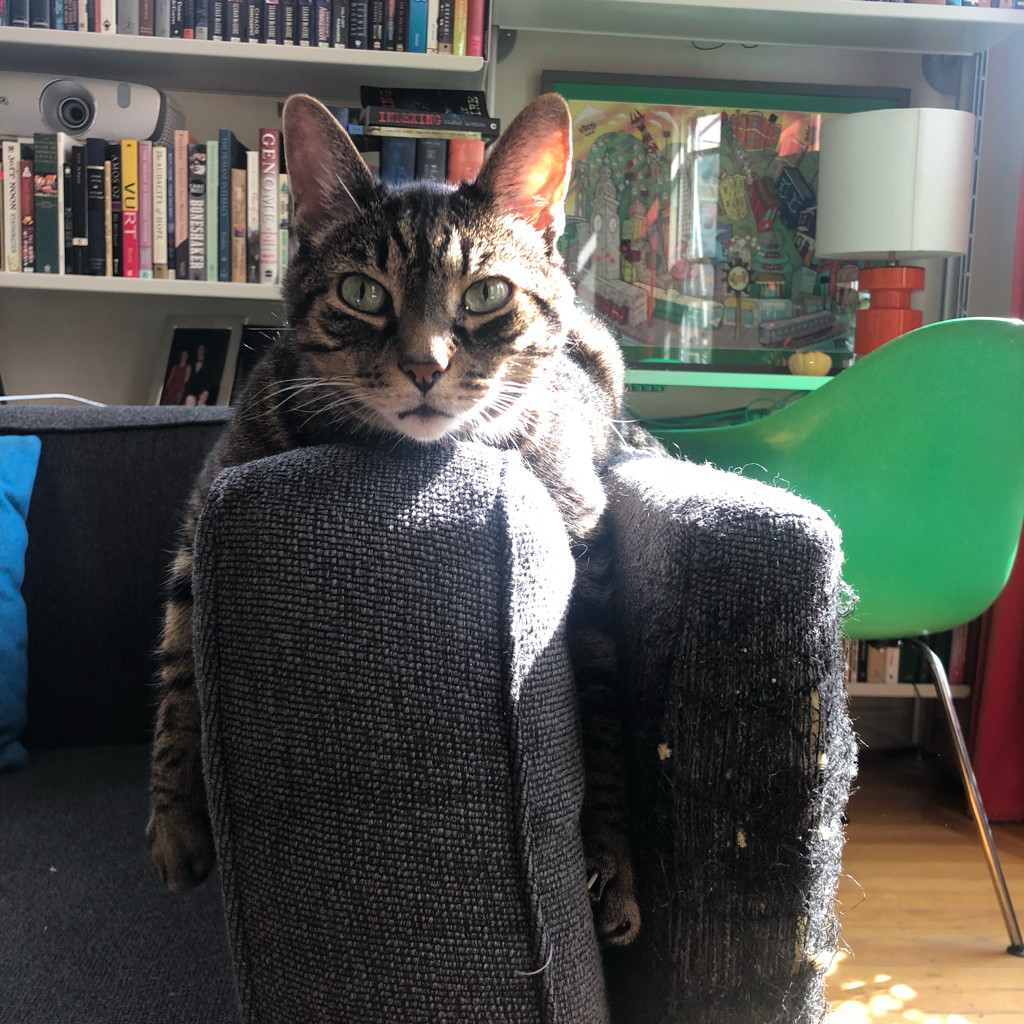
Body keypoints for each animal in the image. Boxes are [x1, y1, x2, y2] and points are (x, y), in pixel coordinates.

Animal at [146, 92, 655, 946]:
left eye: (486, 295)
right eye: (362, 292)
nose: (425, 365)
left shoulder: (588, 558)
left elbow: (608, 708)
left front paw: (613, 857)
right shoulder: (203, 517)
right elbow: (181, 666)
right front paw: (178, 814)